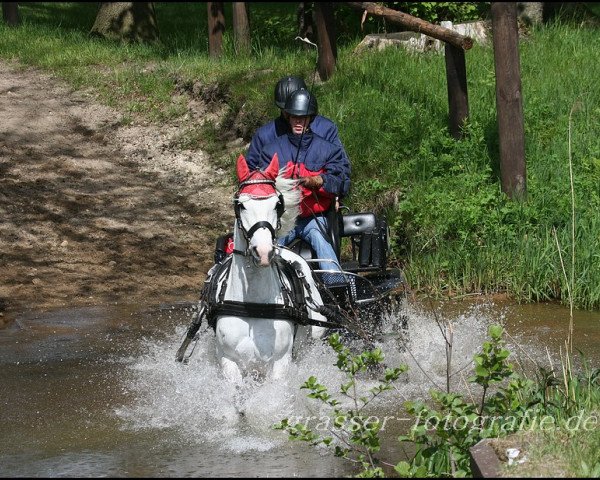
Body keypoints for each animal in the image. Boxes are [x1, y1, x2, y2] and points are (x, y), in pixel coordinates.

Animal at [205, 152, 328, 384]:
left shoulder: (280, 363)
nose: (263, 251)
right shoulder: (228, 361)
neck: (253, 305)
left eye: (276, 204)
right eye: (241, 205)